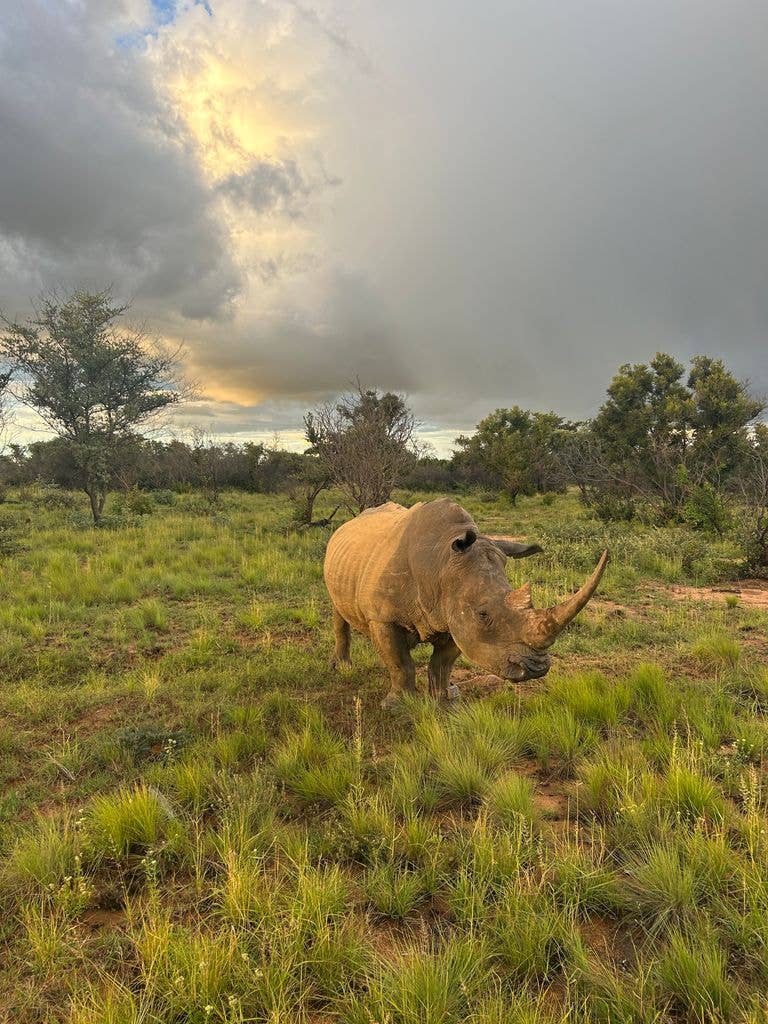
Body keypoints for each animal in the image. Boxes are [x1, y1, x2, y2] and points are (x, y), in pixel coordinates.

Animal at [323, 497, 608, 707]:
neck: (441, 565)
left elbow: (442, 664)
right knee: (339, 613)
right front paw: (398, 705)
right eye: (483, 614)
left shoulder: (457, 616)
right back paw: (343, 667)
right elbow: (400, 663)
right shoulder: (383, 618)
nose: (536, 669)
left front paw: (445, 701)